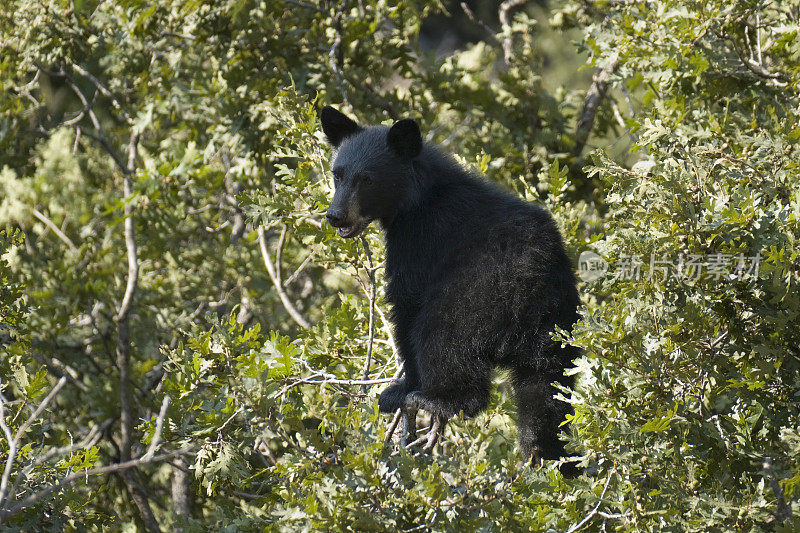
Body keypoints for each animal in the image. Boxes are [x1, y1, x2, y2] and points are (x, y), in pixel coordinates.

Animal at [320, 106, 580, 464]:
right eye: (338, 175)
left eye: (367, 179)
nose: (336, 215)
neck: (417, 197)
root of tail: (537, 286)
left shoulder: (418, 239)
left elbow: (406, 302)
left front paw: (400, 388)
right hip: (559, 325)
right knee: (546, 387)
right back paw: (545, 451)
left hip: (479, 294)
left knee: (443, 336)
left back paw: (440, 399)